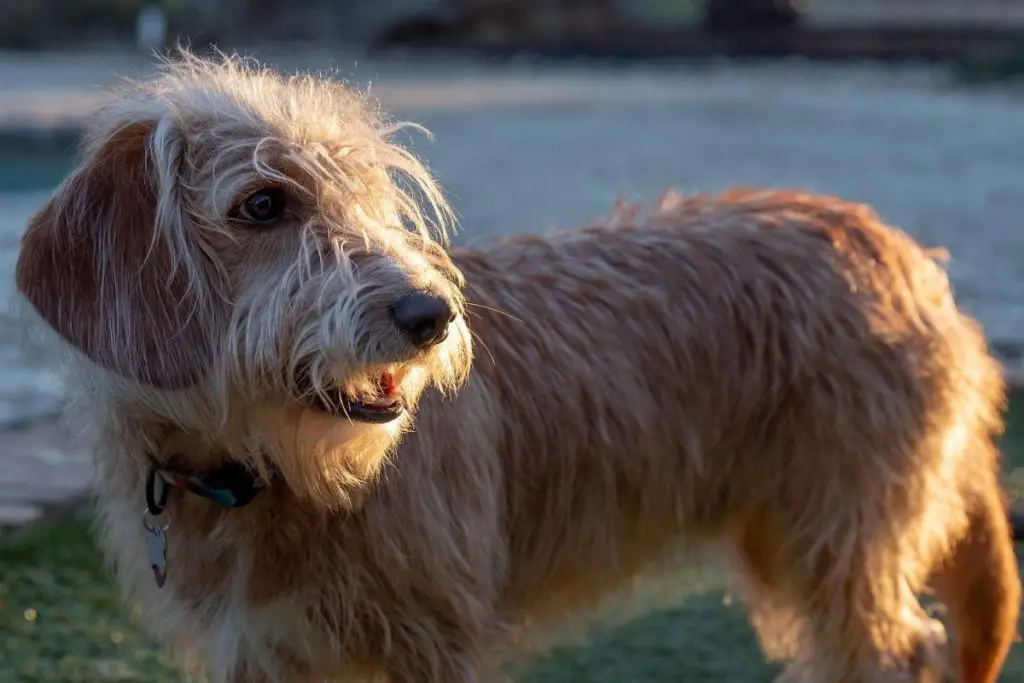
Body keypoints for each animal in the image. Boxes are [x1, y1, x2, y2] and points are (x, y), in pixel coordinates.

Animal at [16, 53, 1024, 683]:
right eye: (262, 203)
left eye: (371, 196)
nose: (432, 315)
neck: (260, 483)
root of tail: (906, 252)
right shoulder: (263, 651)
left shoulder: (435, 639)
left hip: (841, 545)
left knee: (901, 649)